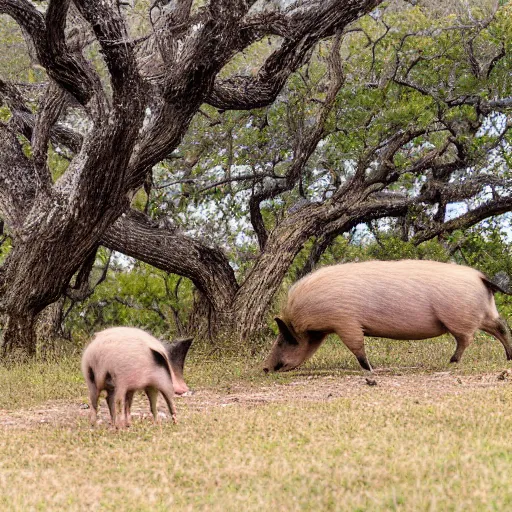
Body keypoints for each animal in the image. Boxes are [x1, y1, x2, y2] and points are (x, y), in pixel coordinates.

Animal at [264, 260, 512, 372]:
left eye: (284, 340)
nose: (265, 368)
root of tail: (481, 277)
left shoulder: (345, 322)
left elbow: (357, 347)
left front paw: (370, 369)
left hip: (460, 318)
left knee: (467, 338)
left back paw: (451, 361)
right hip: (484, 313)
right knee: (501, 326)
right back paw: (508, 358)